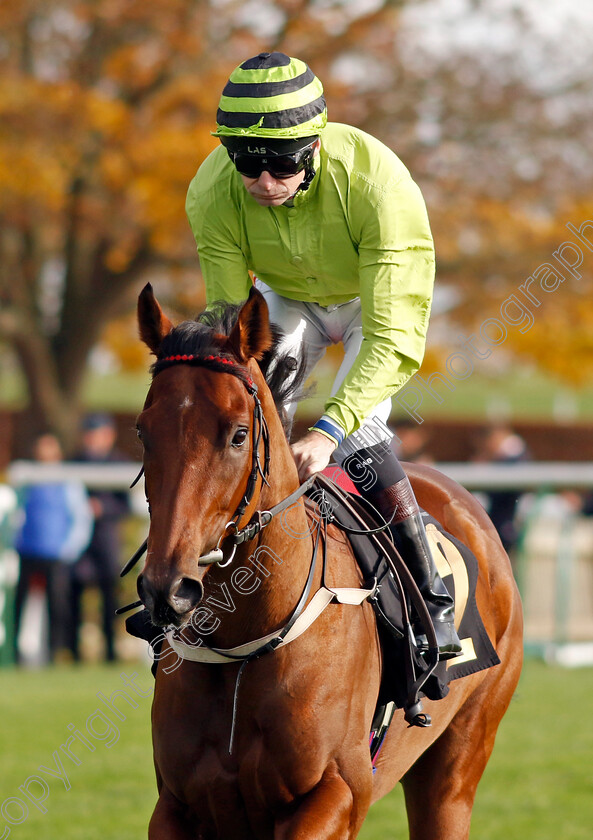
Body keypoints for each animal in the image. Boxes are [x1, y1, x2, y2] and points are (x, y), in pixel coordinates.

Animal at [133, 284, 520, 840]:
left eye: (238, 434)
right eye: (143, 432)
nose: (168, 588)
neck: (247, 642)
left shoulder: (336, 794)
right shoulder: (177, 807)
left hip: (457, 765)